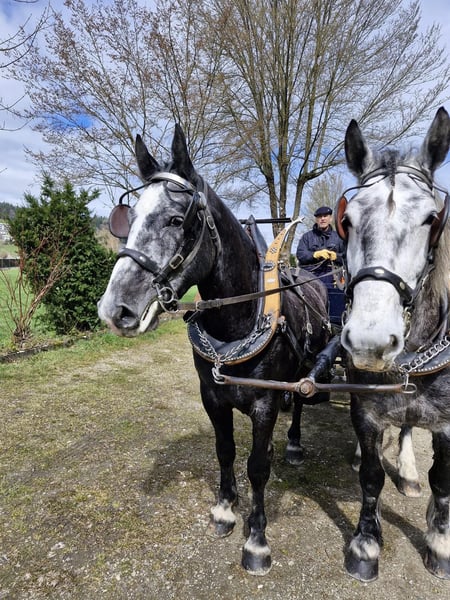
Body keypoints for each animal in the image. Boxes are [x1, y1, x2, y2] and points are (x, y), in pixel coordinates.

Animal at [97, 124, 330, 575]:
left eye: (176, 220)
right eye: (127, 222)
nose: (115, 309)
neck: (237, 321)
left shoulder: (264, 404)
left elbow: (257, 466)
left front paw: (256, 539)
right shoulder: (212, 396)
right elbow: (225, 451)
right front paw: (225, 509)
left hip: (307, 368)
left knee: (301, 402)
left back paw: (293, 443)